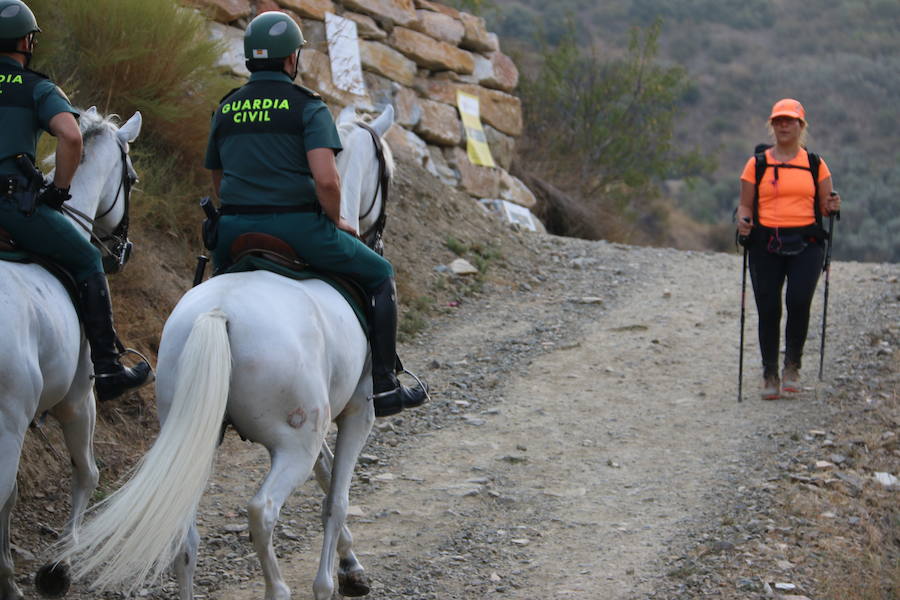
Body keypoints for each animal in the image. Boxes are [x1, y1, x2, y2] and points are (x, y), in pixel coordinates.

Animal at [55, 106, 394, 600]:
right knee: (262, 511)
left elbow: (327, 475)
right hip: (294, 443)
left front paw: (351, 564)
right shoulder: (357, 412)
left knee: (185, 535)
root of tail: (220, 312)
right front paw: (334, 579)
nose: (377, 238)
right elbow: (336, 498)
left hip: (200, 433)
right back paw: (279, 588)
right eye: (387, 172)